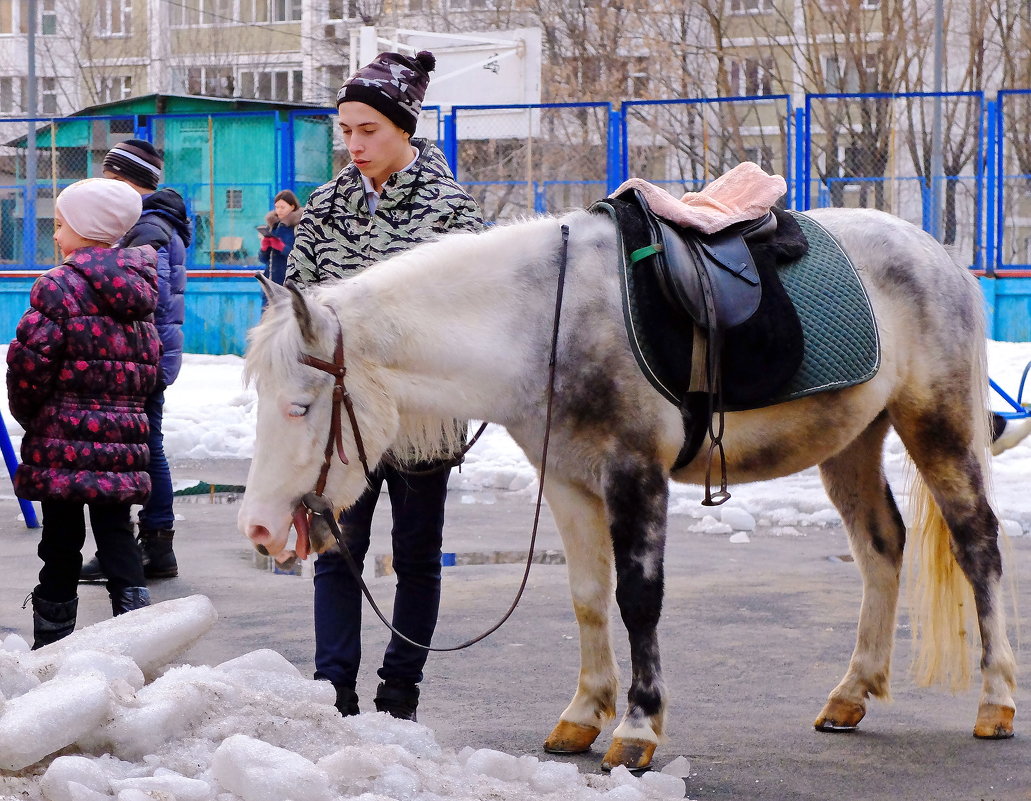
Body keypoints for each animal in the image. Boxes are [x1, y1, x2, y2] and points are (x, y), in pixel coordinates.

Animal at [239, 197, 1014, 766]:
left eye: (300, 405)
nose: (259, 527)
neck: (542, 327)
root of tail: (935, 252)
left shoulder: (636, 477)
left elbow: (638, 600)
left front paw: (638, 729)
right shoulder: (568, 482)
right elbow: (587, 598)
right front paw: (583, 714)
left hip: (936, 428)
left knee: (978, 546)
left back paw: (996, 699)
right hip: (851, 442)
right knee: (881, 547)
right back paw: (851, 693)